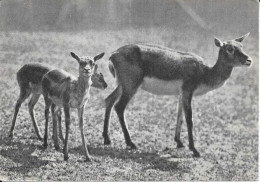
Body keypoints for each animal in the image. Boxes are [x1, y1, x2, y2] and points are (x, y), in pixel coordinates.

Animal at [103, 33, 252, 157]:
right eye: (230, 48)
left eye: (241, 46)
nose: (249, 60)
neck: (204, 73)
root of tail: (113, 55)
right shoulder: (187, 91)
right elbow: (189, 119)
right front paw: (194, 150)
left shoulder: (181, 94)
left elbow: (179, 116)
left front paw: (179, 142)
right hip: (131, 86)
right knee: (119, 107)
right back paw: (131, 143)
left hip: (122, 85)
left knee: (109, 100)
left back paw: (107, 139)